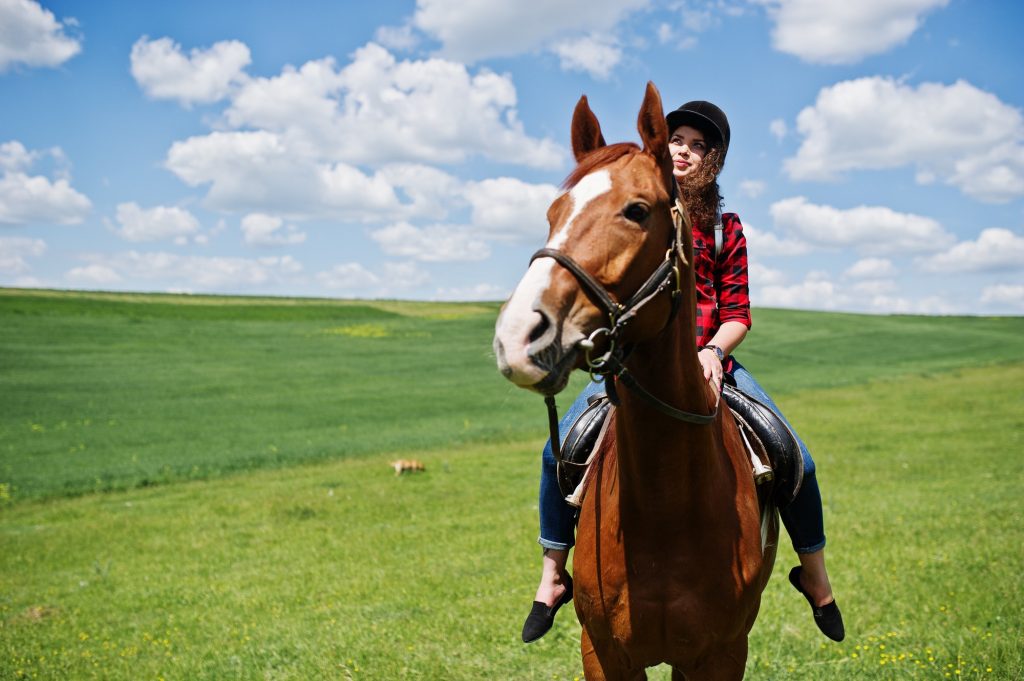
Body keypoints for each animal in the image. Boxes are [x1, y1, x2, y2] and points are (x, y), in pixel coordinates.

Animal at [493, 82, 774, 675]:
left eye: (637, 210)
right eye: (553, 212)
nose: (517, 334)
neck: (666, 503)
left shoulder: (720, 655)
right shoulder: (603, 652)